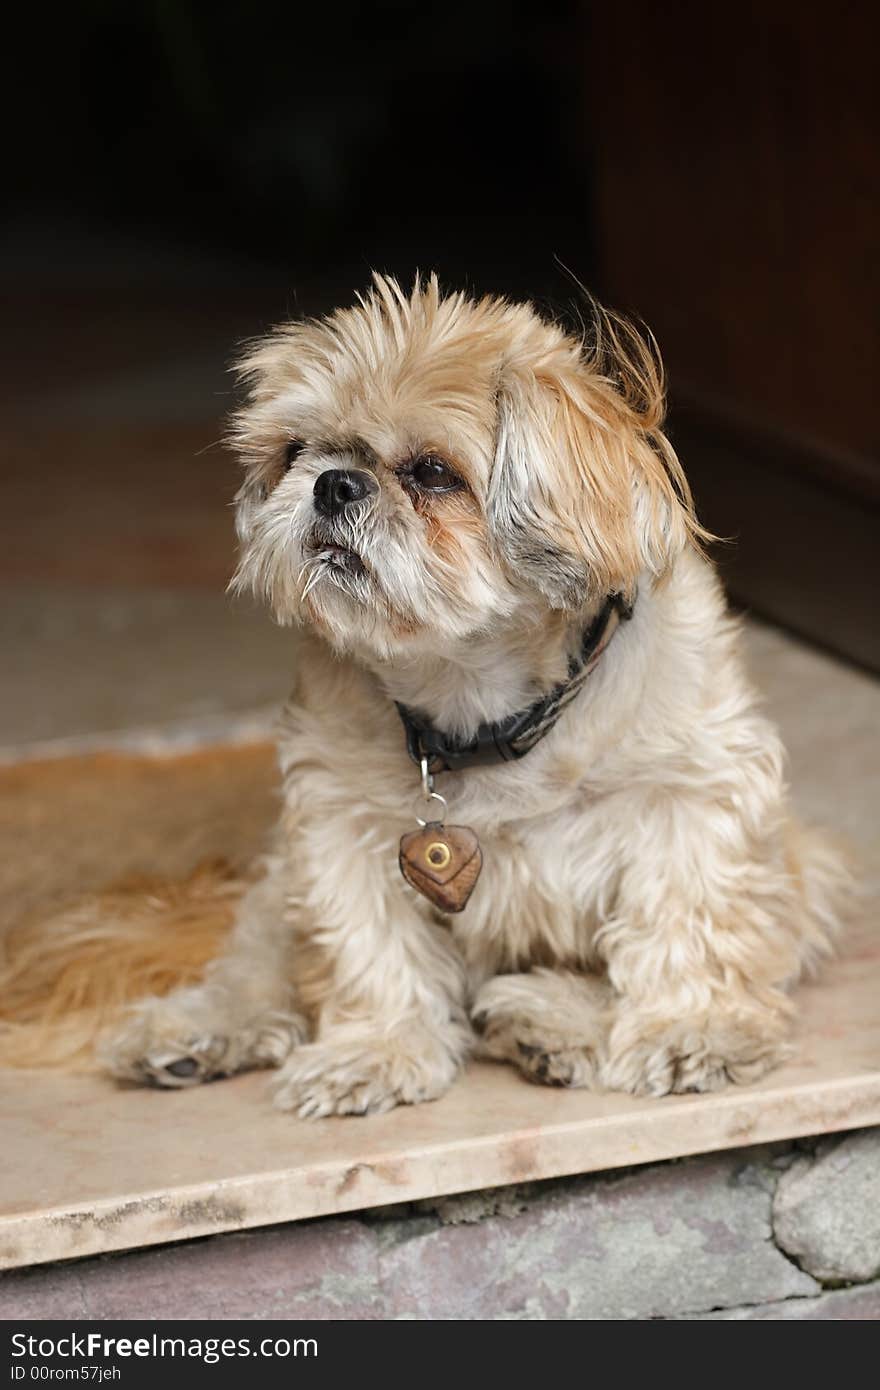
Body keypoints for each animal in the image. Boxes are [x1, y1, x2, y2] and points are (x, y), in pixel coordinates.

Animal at [87, 276, 845, 1112]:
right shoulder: (340, 823)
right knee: (260, 963)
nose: (331, 483)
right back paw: (197, 1030)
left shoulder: (689, 796)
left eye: (432, 472)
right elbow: (369, 949)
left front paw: (694, 1030)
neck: (480, 702)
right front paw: (375, 1050)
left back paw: (551, 1021)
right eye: (293, 453)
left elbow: (687, 924)